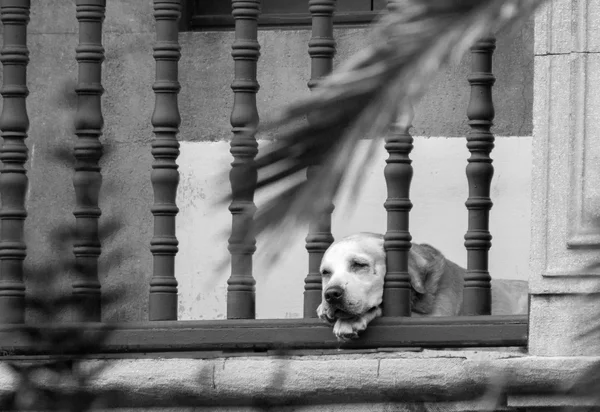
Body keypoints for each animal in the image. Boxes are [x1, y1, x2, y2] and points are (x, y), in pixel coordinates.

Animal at [316, 232, 528, 342]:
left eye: (359, 265)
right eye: (326, 273)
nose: (331, 294)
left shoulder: (438, 320)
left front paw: (351, 321)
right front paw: (322, 308)